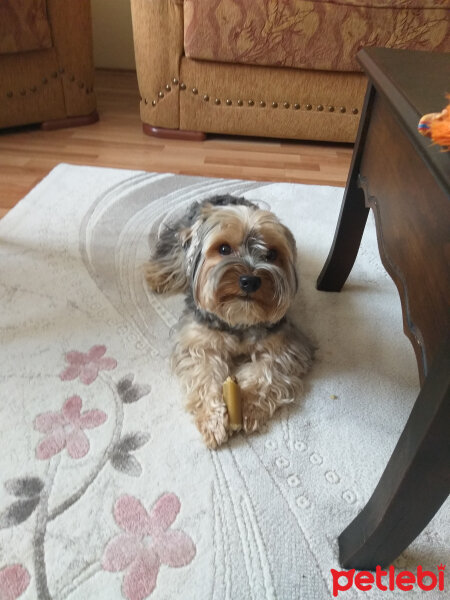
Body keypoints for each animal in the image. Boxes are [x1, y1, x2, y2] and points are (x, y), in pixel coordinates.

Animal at [146, 195, 314, 448]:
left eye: (272, 254)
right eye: (224, 249)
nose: (250, 281)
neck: (238, 318)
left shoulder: (284, 345)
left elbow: (266, 372)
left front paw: (249, 408)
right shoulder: (199, 342)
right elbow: (203, 374)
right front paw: (213, 421)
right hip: (180, 242)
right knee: (173, 256)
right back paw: (158, 277)